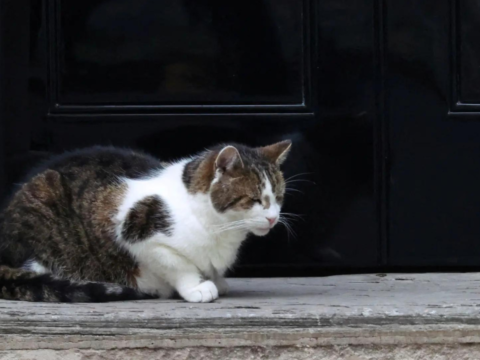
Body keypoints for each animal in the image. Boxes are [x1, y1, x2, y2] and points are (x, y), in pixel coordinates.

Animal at [0, 140, 292, 300]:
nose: (273, 218)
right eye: (254, 199)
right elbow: (178, 264)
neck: (221, 229)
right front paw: (197, 287)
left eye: (278, 197)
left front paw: (215, 279)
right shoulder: (139, 234)